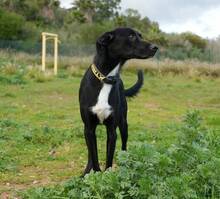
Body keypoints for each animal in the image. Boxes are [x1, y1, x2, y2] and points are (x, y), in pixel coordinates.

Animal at [78, 27, 157, 175]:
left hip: (123, 123)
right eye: (131, 36)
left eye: (140, 35)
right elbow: (94, 156)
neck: (106, 78)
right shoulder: (89, 128)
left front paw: (108, 175)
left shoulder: (112, 130)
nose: (155, 47)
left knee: (124, 145)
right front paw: (93, 173)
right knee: (90, 152)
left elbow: (109, 159)